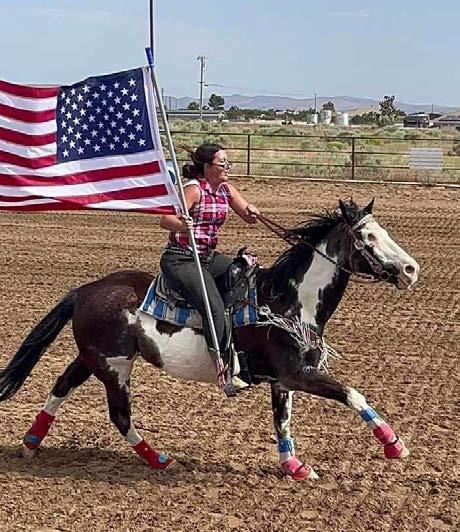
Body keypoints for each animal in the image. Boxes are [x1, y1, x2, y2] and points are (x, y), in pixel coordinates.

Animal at [0, 198, 419, 481]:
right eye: (367, 236)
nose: (411, 269)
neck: (284, 300)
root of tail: (85, 289)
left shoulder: (283, 380)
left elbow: (282, 422)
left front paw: (295, 466)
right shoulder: (298, 374)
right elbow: (352, 393)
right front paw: (394, 444)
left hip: (95, 359)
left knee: (62, 385)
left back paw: (30, 443)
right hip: (114, 367)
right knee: (119, 415)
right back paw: (159, 459)